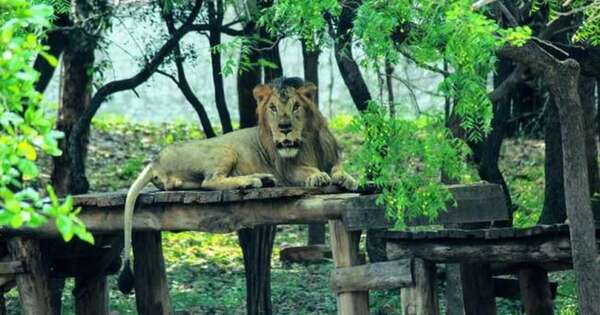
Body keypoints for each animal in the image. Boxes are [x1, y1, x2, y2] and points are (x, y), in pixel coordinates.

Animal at [119, 76, 358, 294]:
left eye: (296, 106)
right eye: (273, 108)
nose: (284, 127)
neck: (308, 143)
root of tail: (155, 159)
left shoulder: (330, 158)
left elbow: (338, 168)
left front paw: (348, 179)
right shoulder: (288, 170)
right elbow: (308, 171)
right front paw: (318, 177)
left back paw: (264, 179)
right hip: (224, 149)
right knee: (209, 181)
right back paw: (251, 181)